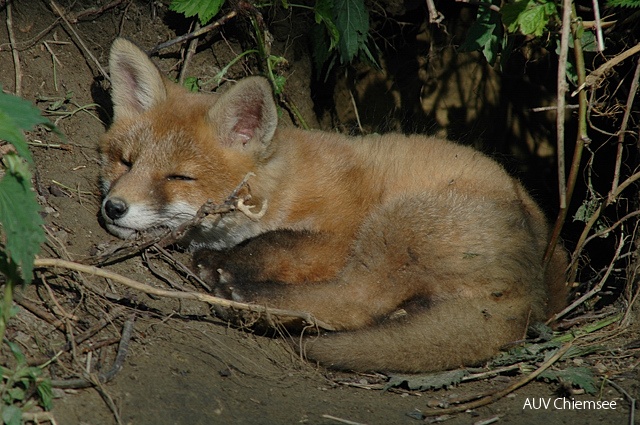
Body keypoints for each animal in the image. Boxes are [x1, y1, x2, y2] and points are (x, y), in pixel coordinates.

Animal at [101, 39, 568, 372]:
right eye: (126, 161)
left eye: (179, 178)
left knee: (356, 302)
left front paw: (225, 263)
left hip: (393, 224)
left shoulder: (341, 234)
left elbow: (276, 242)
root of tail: (537, 293)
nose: (113, 208)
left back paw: (253, 301)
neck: (284, 185)